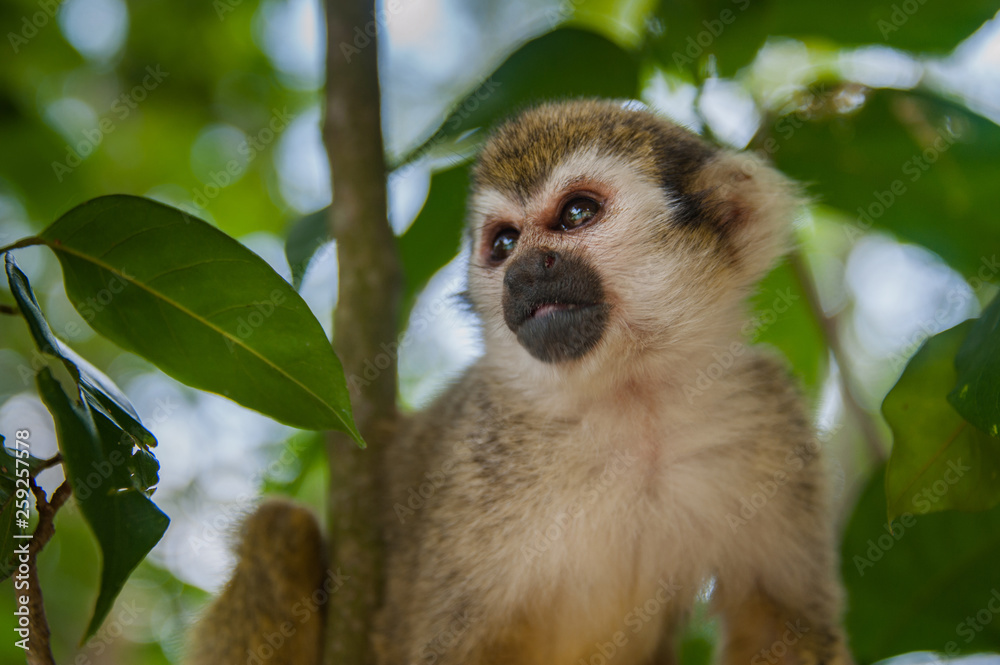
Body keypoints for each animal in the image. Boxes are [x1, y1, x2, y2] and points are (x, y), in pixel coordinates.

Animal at [187, 99, 853, 665]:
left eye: (577, 213)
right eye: (504, 243)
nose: (526, 272)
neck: (631, 405)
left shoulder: (767, 414)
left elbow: (784, 621)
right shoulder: (476, 459)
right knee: (282, 528)